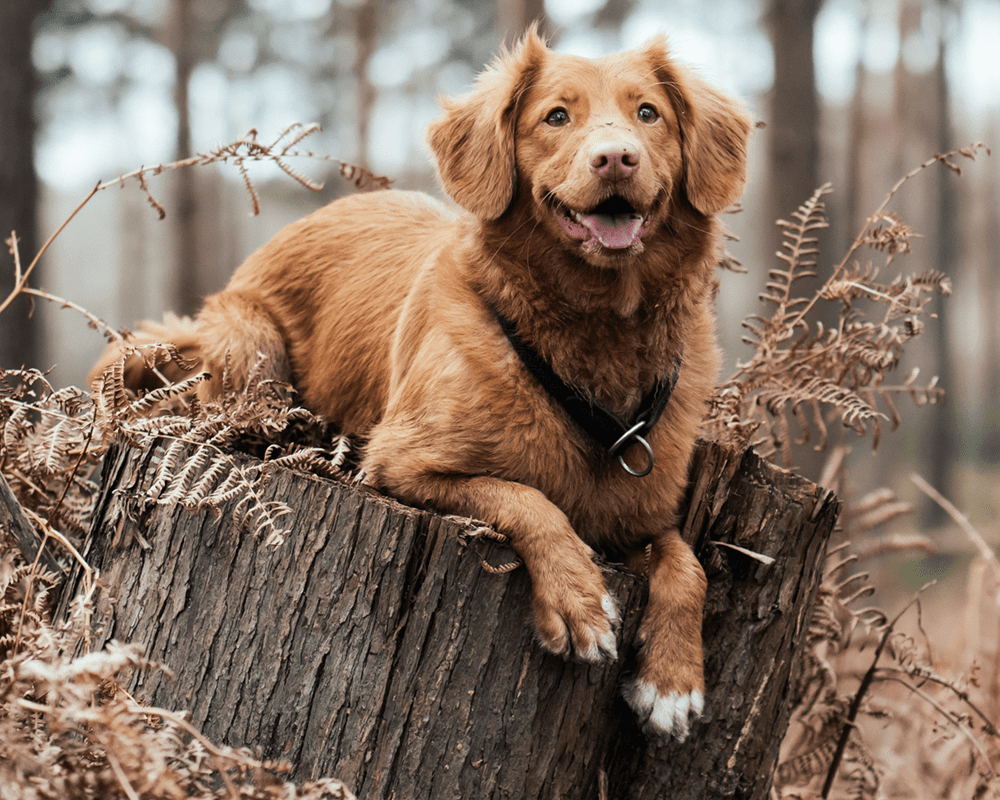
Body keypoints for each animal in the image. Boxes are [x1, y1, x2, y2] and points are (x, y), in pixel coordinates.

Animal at [92, 31, 752, 744]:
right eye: (556, 116)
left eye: (648, 113)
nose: (616, 157)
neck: (594, 338)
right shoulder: (401, 463)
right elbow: (527, 498)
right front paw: (577, 597)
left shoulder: (641, 515)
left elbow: (686, 565)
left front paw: (674, 682)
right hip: (250, 342)